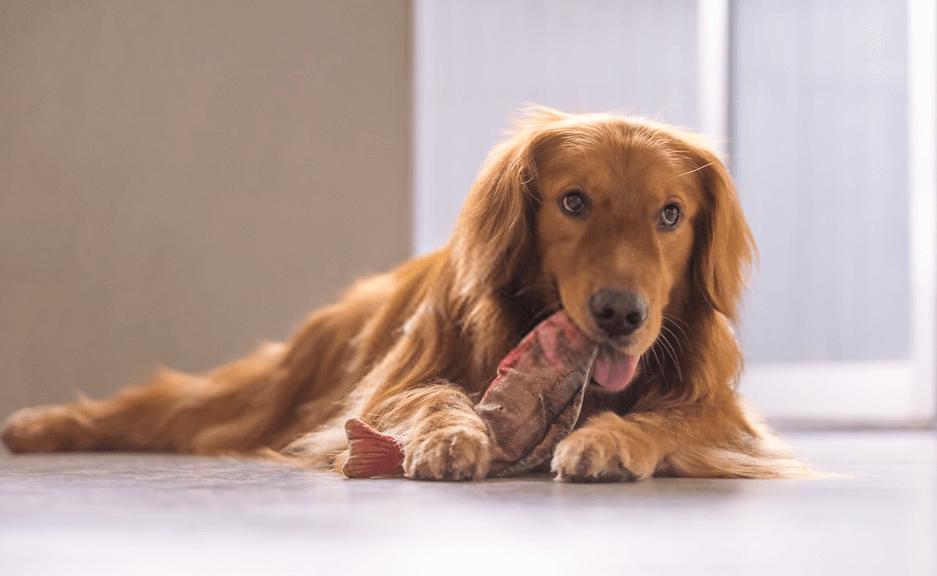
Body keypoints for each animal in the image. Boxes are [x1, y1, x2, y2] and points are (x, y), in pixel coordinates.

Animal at [1, 107, 804, 482]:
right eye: (573, 202)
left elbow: (669, 419)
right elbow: (431, 394)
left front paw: (610, 438)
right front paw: (451, 436)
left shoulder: (726, 417)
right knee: (165, 403)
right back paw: (39, 426)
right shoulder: (388, 386)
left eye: (671, 214)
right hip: (269, 388)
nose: (620, 314)